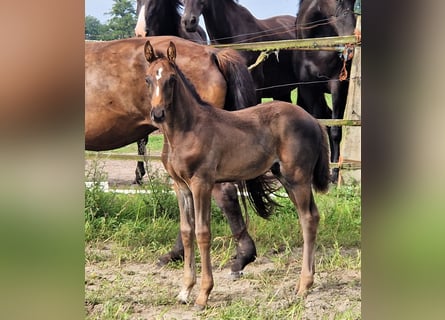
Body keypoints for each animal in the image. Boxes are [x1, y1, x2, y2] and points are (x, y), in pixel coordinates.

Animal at [144, 40, 328, 308]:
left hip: (298, 177)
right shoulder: (181, 186)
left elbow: (202, 233)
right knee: (311, 216)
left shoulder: (202, 183)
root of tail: (313, 121)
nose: (157, 114)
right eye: (148, 79)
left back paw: (303, 286)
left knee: (308, 219)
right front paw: (185, 290)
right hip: (286, 177)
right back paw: (306, 282)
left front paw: (203, 294)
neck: (187, 129)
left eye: (172, 79)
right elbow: (187, 231)